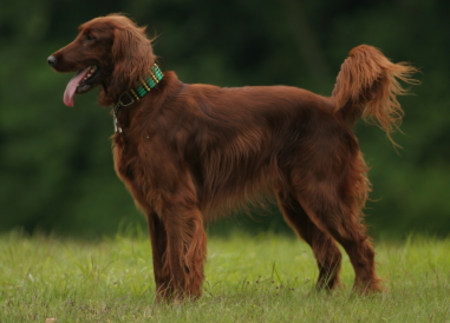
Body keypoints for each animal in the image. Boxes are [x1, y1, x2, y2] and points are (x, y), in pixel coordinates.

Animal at [47, 12, 416, 302]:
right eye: (80, 33)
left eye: (91, 37)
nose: (51, 60)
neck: (143, 100)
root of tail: (334, 109)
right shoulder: (153, 208)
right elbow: (159, 263)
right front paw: (162, 304)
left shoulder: (177, 200)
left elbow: (179, 257)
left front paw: (181, 303)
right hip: (296, 201)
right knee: (330, 252)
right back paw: (318, 298)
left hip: (321, 192)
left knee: (359, 246)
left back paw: (363, 295)